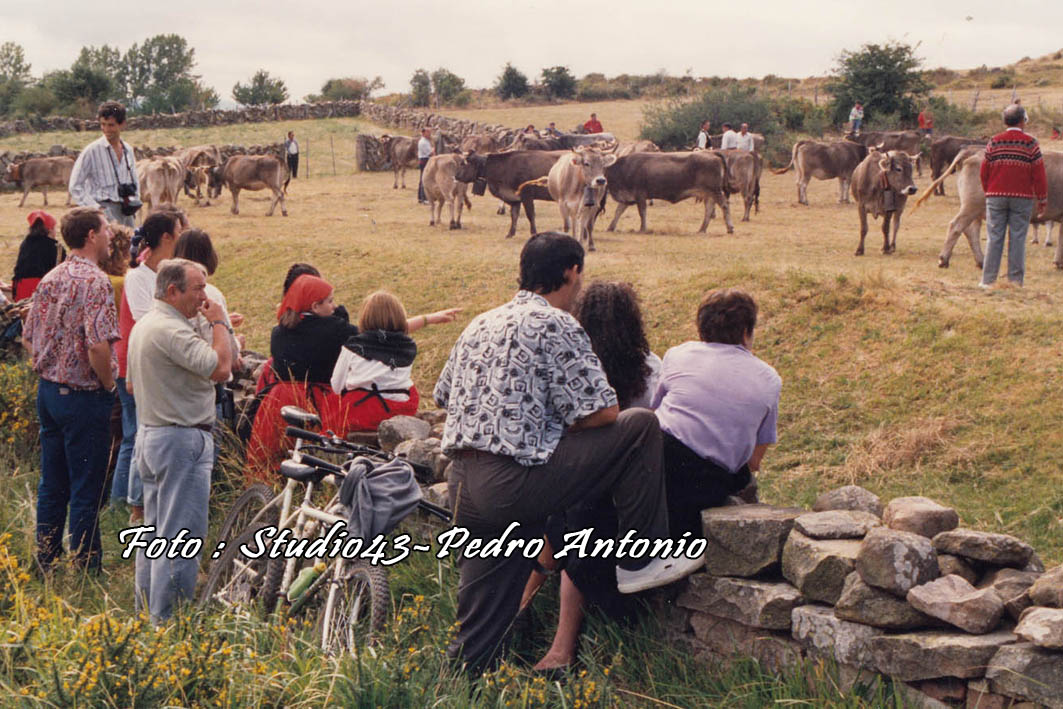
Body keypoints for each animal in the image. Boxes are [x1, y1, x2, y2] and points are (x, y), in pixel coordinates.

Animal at [603, 150, 735, 233]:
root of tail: (711, 152)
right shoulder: (627, 198)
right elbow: (618, 212)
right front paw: (610, 227)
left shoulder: (640, 195)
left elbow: (642, 212)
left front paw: (642, 228)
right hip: (709, 194)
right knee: (709, 210)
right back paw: (702, 229)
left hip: (715, 191)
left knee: (724, 205)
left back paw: (730, 228)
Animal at [914, 148, 1063, 269]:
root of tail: (973, 152)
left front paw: (1057, 262)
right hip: (972, 206)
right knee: (956, 226)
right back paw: (943, 260)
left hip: (976, 210)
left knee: (971, 231)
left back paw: (980, 261)